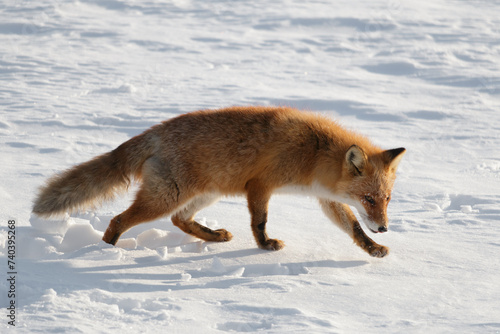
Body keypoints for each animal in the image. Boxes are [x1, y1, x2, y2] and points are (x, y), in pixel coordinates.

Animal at [33, 107, 404, 258]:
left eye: (386, 199)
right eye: (369, 198)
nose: (385, 228)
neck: (313, 153)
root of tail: (154, 132)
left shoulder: (326, 197)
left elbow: (352, 228)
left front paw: (373, 248)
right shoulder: (260, 184)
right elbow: (259, 222)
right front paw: (264, 247)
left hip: (203, 194)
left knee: (179, 220)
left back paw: (213, 236)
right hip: (167, 197)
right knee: (118, 220)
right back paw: (102, 253)